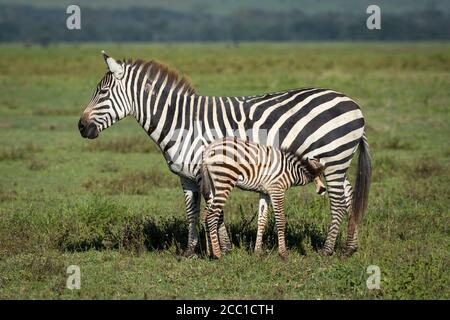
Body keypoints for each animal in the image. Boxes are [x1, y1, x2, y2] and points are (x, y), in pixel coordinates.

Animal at [78, 52, 372, 258]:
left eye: (102, 92)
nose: (81, 127)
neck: (182, 123)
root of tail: (353, 104)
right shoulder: (186, 177)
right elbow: (192, 212)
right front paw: (191, 251)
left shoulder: (206, 171)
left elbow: (213, 210)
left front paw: (223, 248)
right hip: (337, 163)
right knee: (349, 195)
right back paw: (350, 247)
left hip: (332, 159)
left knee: (337, 201)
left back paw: (328, 250)